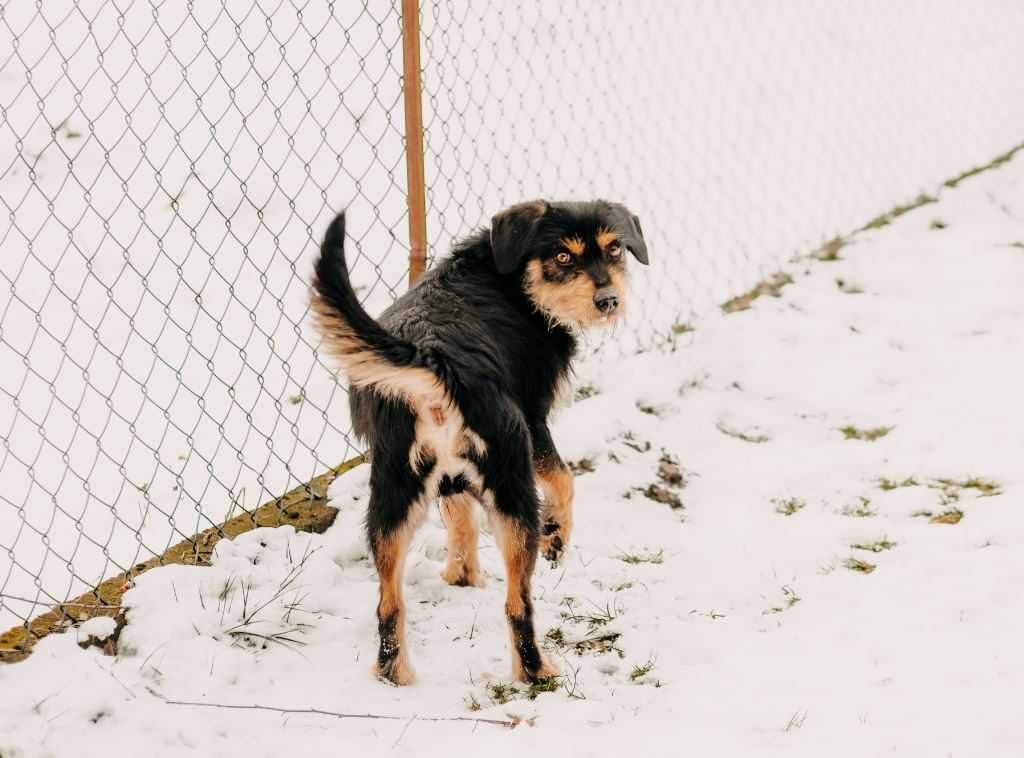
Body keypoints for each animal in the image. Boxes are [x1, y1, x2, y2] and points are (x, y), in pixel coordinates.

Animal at [311, 198, 647, 684]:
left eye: (614, 248)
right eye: (562, 256)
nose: (609, 301)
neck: (513, 279)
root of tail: (434, 359)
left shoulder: (450, 477)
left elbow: (461, 521)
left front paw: (462, 575)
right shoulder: (534, 423)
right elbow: (564, 481)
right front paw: (556, 537)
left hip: (391, 496)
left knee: (389, 604)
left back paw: (395, 673)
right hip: (512, 484)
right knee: (517, 603)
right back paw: (535, 671)